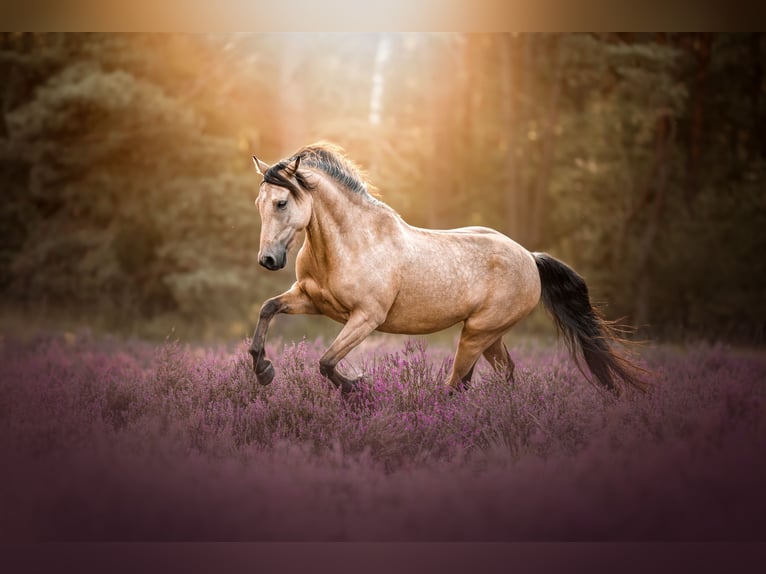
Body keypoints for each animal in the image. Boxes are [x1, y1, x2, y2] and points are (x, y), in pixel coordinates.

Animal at [248, 142, 647, 395]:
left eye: (281, 202)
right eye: (259, 203)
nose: (267, 260)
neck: (351, 243)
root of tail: (530, 258)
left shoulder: (366, 318)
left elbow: (327, 362)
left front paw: (358, 390)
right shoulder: (310, 300)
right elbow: (268, 309)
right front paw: (263, 371)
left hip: (477, 334)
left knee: (456, 386)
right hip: (489, 337)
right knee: (501, 376)